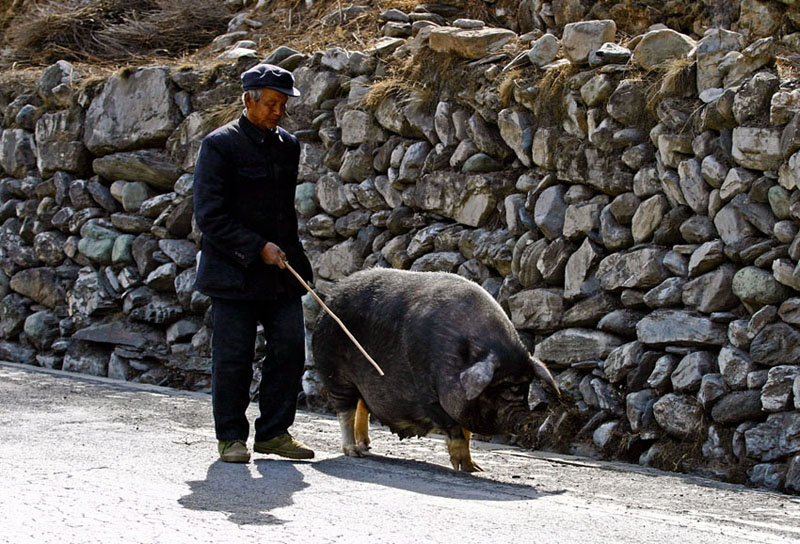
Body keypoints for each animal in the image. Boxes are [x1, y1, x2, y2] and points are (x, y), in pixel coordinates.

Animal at [312, 268, 556, 472]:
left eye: (525, 387)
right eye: (497, 389)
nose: (528, 419)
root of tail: (330, 298)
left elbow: (467, 433)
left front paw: (477, 469)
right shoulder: (427, 392)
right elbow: (456, 431)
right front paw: (465, 469)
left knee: (362, 405)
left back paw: (366, 448)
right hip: (335, 374)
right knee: (346, 411)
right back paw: (354, 453)